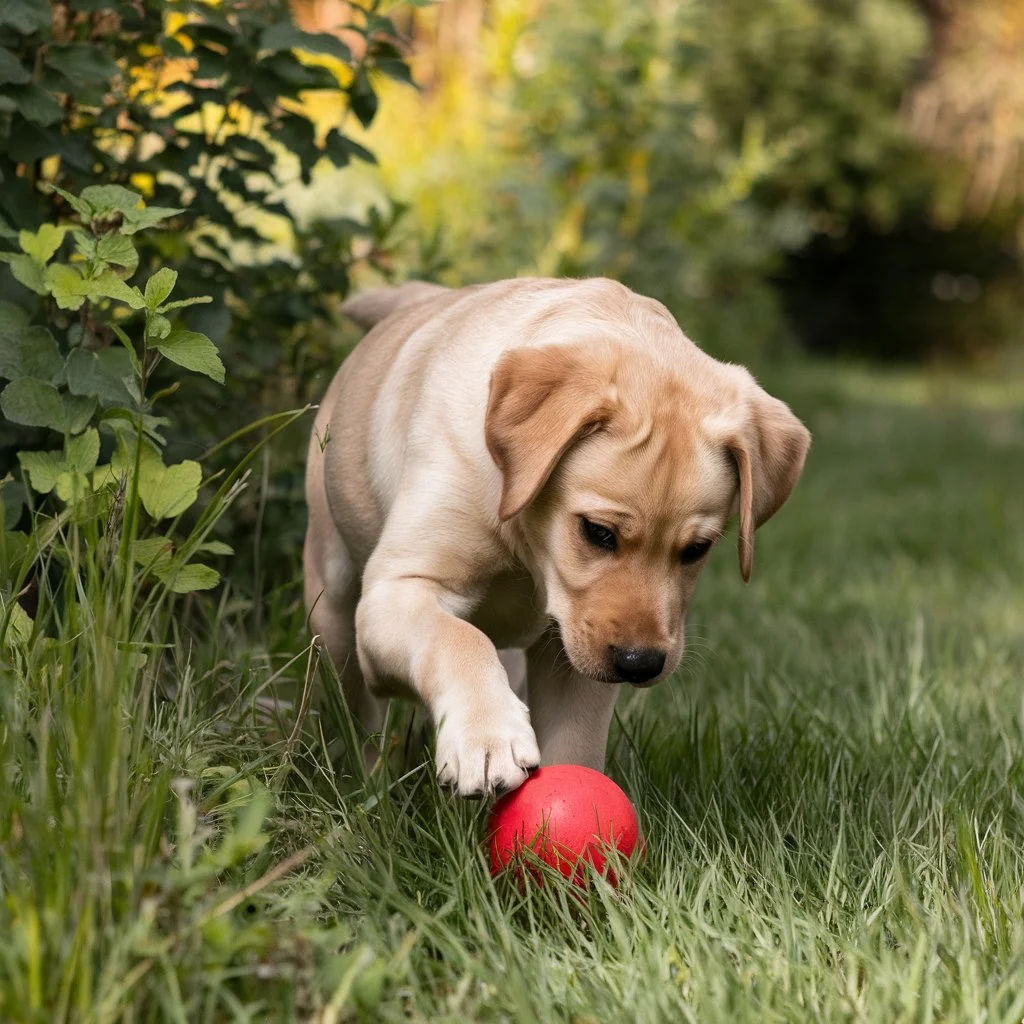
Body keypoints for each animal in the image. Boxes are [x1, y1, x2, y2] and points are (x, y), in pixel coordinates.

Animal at [301, 278, 806, 798]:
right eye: (598, 532)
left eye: (697, 550)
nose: (640, 664)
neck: (526, 546)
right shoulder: (398, 591)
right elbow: (455, 637)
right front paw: (487, 737)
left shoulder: (575, 656)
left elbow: (575, 745)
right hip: (335, 610)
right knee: (359, 717)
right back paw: (364, 786)